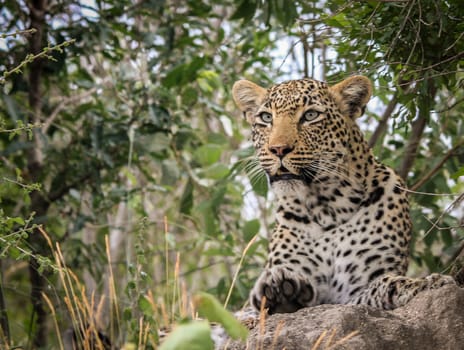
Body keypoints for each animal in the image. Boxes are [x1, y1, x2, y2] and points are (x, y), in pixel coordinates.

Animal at [230, 76, 454, 314]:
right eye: (266, 118)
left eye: (310, 115)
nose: (278, 149)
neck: (327, 206)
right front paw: (281, 290)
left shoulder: (353, 293)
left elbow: (384, 284)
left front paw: (425, 283)